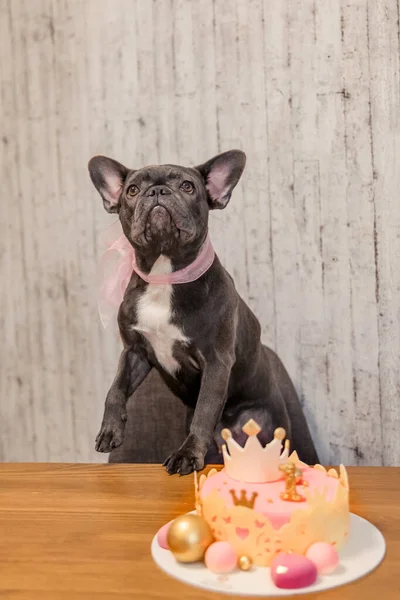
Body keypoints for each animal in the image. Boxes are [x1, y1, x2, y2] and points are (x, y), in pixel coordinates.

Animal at [88, 149, 318, 474]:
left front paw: (187, 455)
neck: (165, 275)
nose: (157, 191)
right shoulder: (135, 352)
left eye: (187, 186)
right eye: (132, 190)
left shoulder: (216, 362)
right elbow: (116, 389)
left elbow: (205, 409)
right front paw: (110, 430)